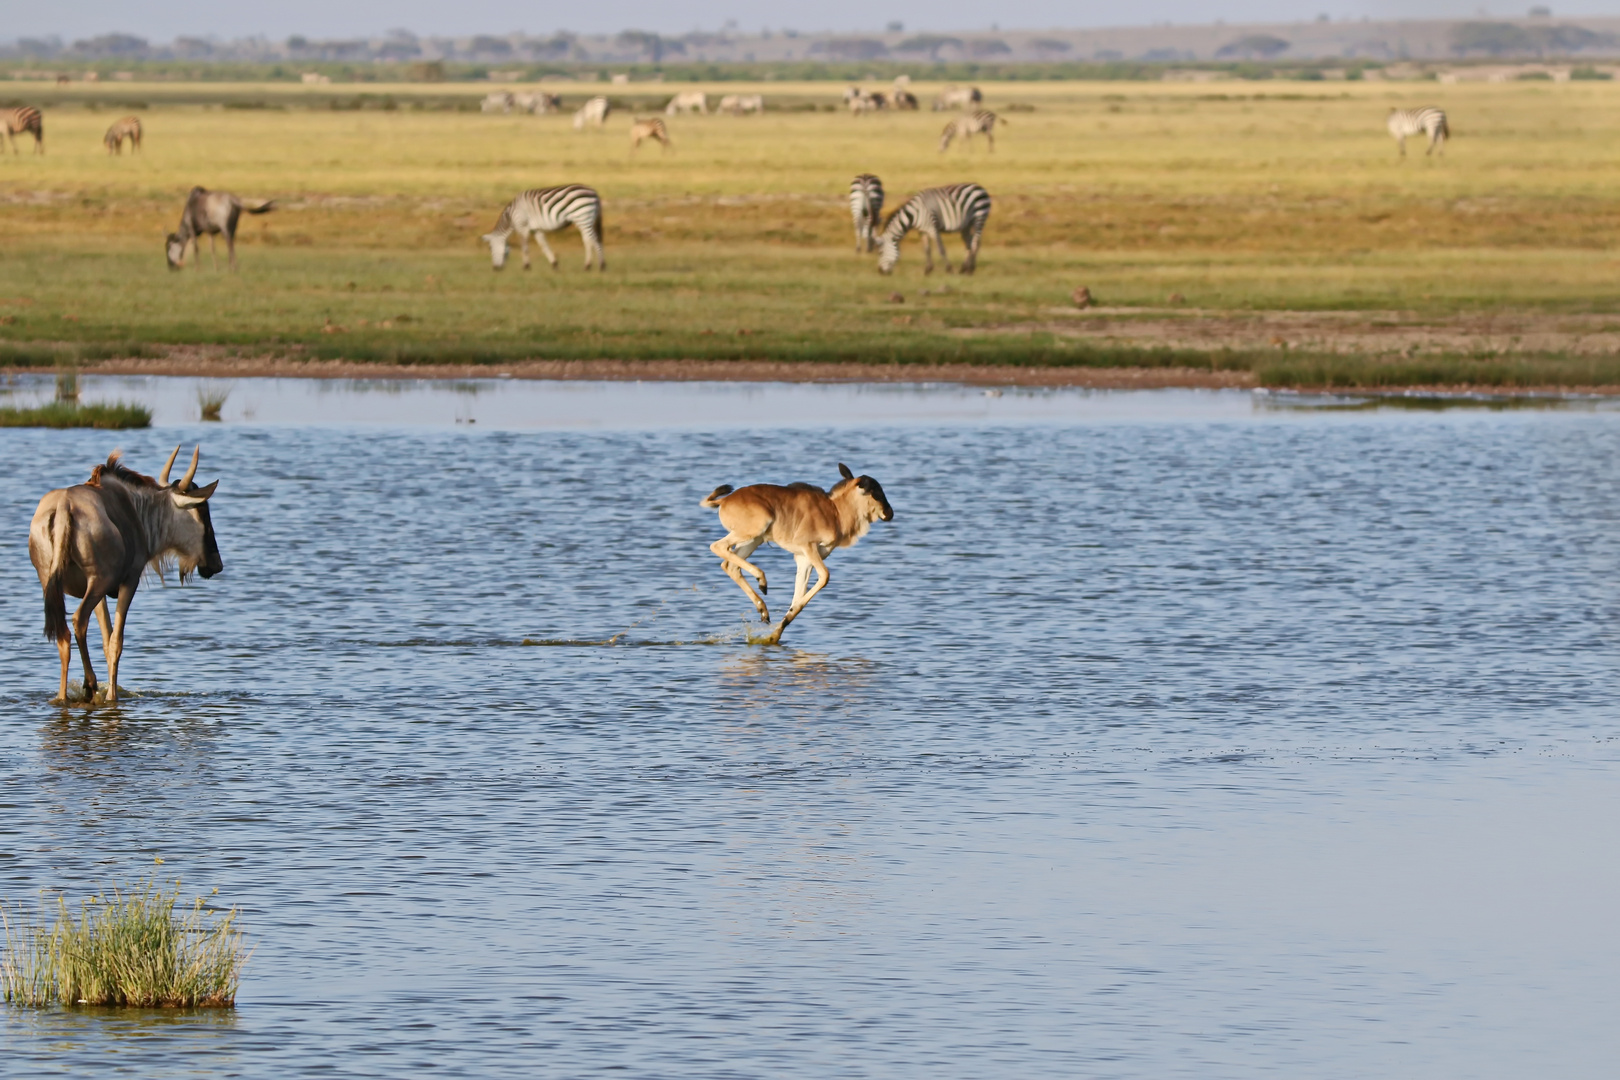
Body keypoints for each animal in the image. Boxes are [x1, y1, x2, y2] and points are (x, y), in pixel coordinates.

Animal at [29, 446, 223, 709]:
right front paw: (111, 696)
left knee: (64, 633)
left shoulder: (98, 593)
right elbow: (115, 641)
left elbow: (105, 637)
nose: (216, 564)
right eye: (203, 511)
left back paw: (67, 694)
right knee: (79, 620)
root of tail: (64, 507)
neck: (138, 510)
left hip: (52, 582)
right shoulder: (128, 581)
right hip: (98, 581)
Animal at [699, 463, 894, 647]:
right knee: (717, 546)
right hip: (753, 531)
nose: (890, 513)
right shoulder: (808, 548)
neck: (834, 511)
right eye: (876, 492)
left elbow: (798, 599)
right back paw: (762, 581)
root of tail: (725, 500)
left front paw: (775, 635)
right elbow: (825, 577)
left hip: (754, 540)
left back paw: (763, 610)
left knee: (729, 565)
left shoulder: (804, 561)